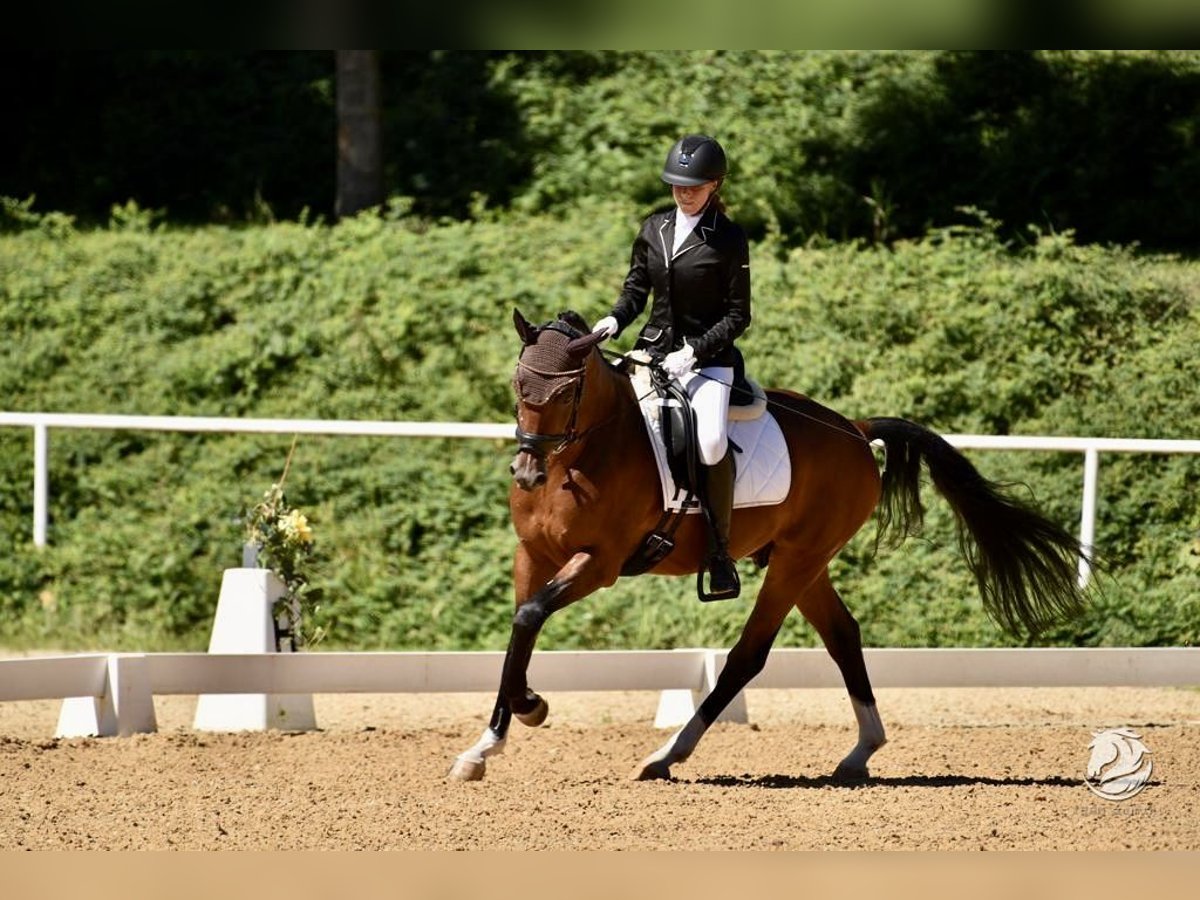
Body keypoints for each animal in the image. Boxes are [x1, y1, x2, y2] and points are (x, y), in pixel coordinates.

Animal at [448, 309, 1089, 782]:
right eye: (519, 386)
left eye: (568, 392)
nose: (527, 472)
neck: (585, 455)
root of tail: (854, 430)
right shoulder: (533, 555)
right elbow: (520, 630)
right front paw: (492, 738)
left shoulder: (600, 563)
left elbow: (529, 617)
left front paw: (524, 714)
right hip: (803, 561)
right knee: (842, 634)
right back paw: (860, 753)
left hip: (798, 561)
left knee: (749, 655)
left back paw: (666, 757)